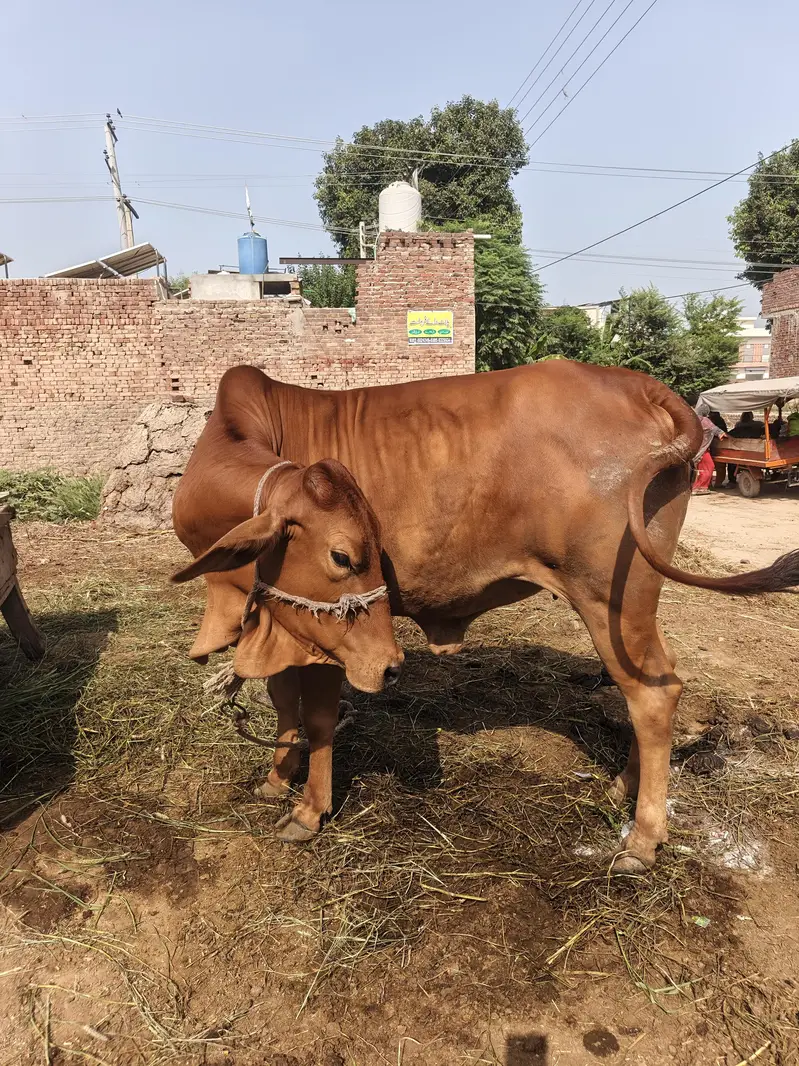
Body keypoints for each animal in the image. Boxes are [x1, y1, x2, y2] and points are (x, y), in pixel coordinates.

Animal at [172, 362, 799, 872]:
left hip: (611, 599)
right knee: (653, 684)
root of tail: (642, 386)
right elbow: (283, 703)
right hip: (630, 605)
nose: (391, 665)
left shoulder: (328, 642)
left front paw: (308, 811)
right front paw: (275, 780)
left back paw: (642, 839)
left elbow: (320, 718)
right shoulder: (275, 620)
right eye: (345, 555)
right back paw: (625, 787)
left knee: (653, 696)